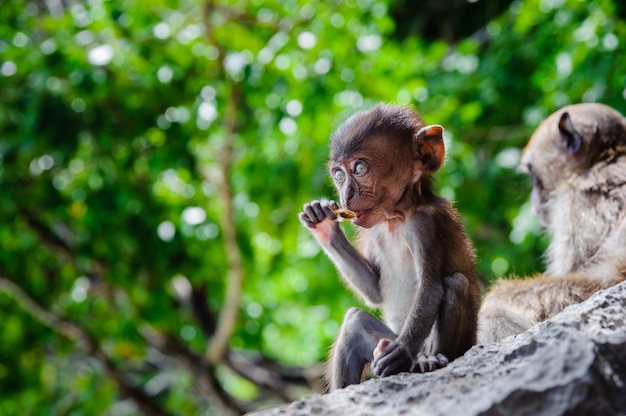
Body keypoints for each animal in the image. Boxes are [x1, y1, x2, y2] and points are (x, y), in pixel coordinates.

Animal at [298, 103, 478, 390]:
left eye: (360, 168)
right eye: (338, 175)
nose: (345, 196)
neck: (396, 218)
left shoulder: (424, 224)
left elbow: (430, 286)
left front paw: (401, 351)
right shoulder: (372, 232)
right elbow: (374, 292)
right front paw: (323, 224)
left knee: (455, 283)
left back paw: (429, 360)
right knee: (354, 322)